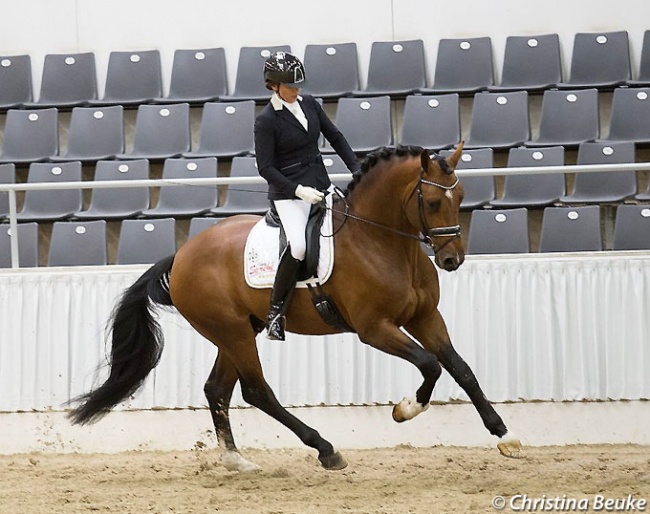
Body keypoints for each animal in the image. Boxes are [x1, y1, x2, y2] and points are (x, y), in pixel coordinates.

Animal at [67, 142, 520, 470]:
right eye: (432, 203)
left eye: (461, 196)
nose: (452, 260)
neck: (381, 241)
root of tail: (181, 255)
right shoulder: (374, 328)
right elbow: (430, 364)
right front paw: (405, 410)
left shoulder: (426, 317)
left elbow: (460, 368)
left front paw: (505, 435)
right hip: (232, 331)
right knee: (256, 391)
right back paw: (325, 449)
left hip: (237, 330)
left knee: (217, 389)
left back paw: (236, 460)